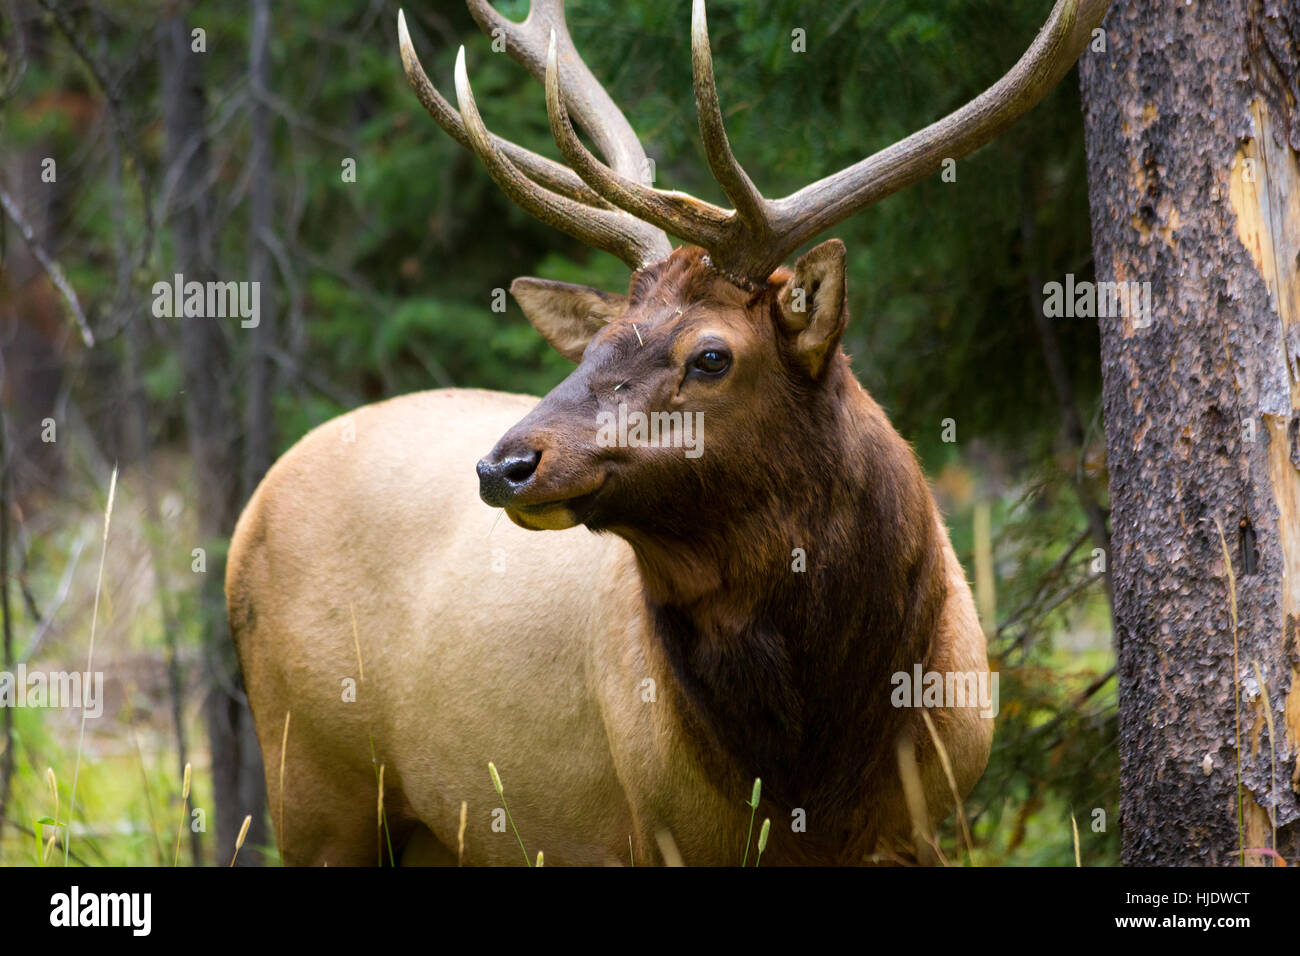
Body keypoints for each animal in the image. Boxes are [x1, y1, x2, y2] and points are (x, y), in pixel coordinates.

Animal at [227, 0, 1108, 865]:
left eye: (711, 355)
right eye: (598, 342)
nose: (503, 465)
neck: (822, 769)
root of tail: (248, 514)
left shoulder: (932, 820)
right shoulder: (658, 827)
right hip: (313, 786)